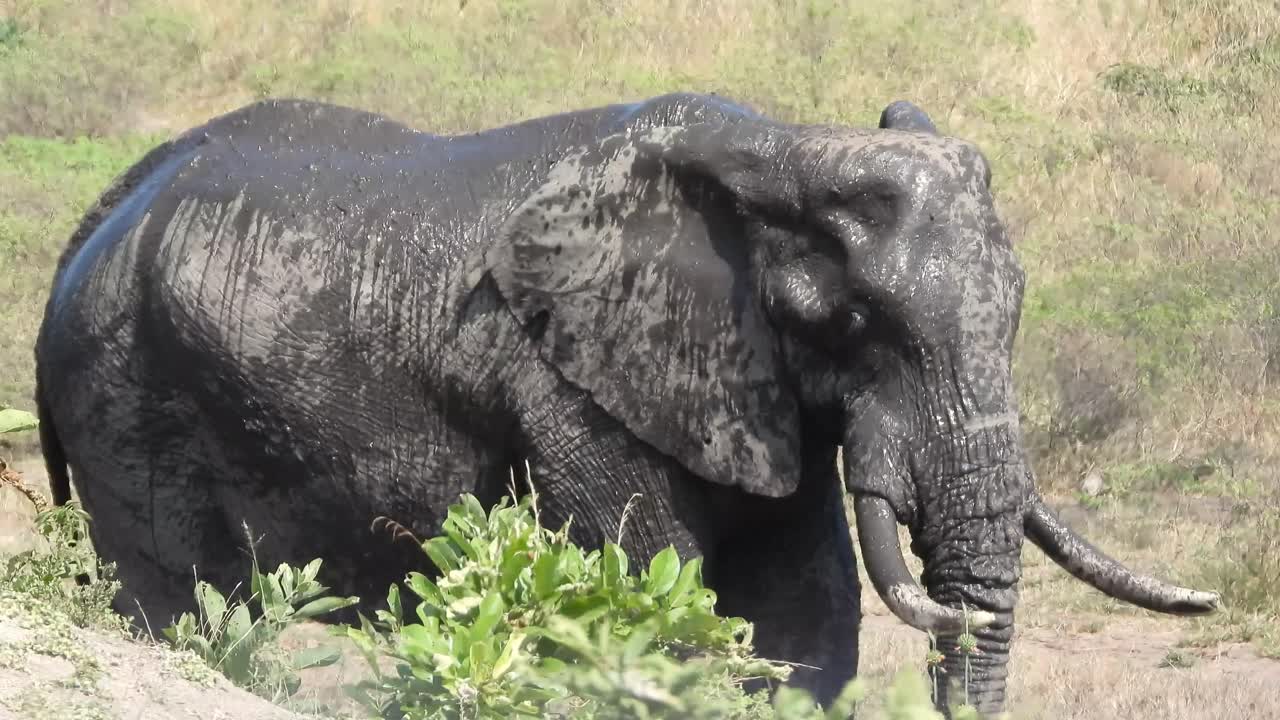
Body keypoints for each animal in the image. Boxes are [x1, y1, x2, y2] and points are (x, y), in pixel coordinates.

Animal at [33, 91, 1218, 715]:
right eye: (854, 322)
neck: (780, 154)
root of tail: (96, 216)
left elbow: (797, 630)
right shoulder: (570, 386)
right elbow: (666, 602)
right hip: (123, 398)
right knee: (175, 609)